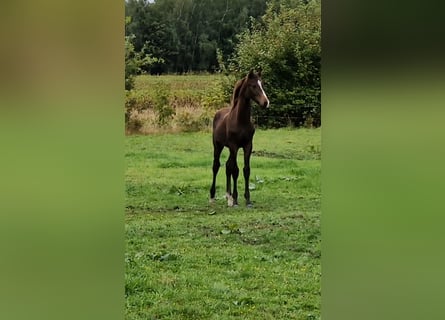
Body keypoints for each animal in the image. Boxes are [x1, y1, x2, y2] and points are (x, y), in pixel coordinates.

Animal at [209, 69, 268, 206]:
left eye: (262, 84)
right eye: (253, 86)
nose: (266, 102)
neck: (240, 121)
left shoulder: (248, 146)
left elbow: (246, 170)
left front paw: (247, 199)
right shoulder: (234, 146)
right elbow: (235, 170)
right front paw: (236, 199)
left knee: (227, 166)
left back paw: (228, 197)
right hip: (218, 146)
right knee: (216, 166)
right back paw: (213, 196)